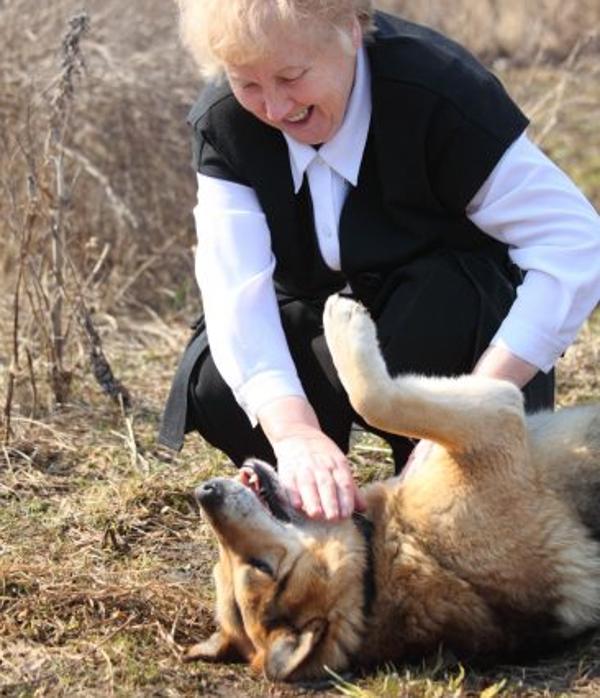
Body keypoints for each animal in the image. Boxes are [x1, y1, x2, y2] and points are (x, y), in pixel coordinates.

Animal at [185, 292, 600, 680]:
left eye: (224, 567)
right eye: (261, 566)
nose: (205, 493)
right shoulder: (496, 422)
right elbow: (373, 401)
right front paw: (344, 320)